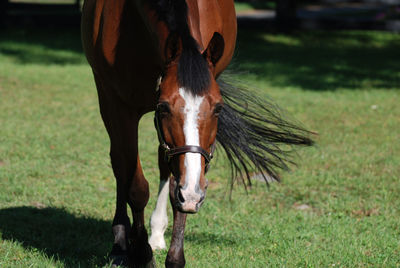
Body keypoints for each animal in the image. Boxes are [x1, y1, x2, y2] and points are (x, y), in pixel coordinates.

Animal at [80, 1, 312, 266]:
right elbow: (135, 186)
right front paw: (142, 254)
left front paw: (173, 257)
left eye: (218, 108)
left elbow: (178, 189)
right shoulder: (120, 107)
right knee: (119, 164)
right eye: (164, 107)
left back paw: (157, 232)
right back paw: (120, 244)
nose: (192, 195)